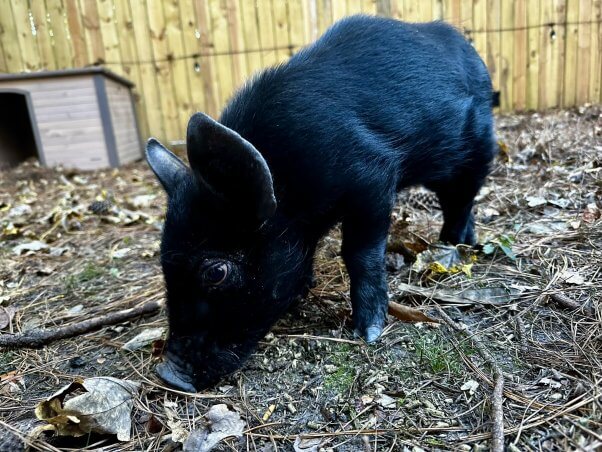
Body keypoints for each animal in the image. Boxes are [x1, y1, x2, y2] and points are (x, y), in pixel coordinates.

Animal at [146, 15, 496, 390]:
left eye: (216, 272)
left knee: (461, 196)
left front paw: (368, 333)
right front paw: (305, 288)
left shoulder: (371, 177)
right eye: (163, 264)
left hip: (472, 148)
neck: (291, 189)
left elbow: (359, 253)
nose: (168, 374)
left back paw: (452, 242)